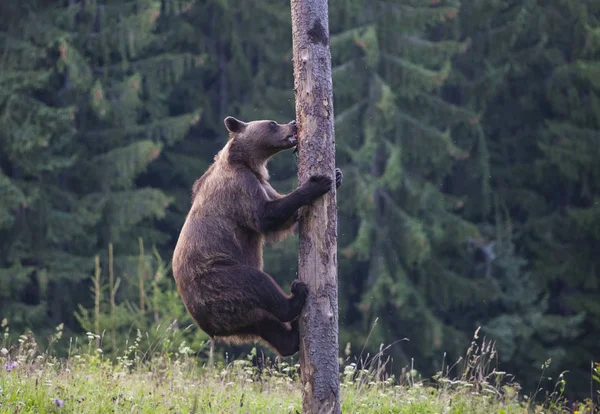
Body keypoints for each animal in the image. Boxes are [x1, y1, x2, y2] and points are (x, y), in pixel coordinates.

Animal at [173, 115, 342, 356]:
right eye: (272, 123)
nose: (293, 123)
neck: (246, 163)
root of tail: (211, 326)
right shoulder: (240, 188)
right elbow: (266, 215)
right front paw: (317, 183)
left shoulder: (261, 184)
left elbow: (283, 218)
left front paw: (337, 175)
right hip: (218, 278)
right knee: (258, 283)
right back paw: (295, 295)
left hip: (242, 316)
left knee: (268, 327)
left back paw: (293, 335)